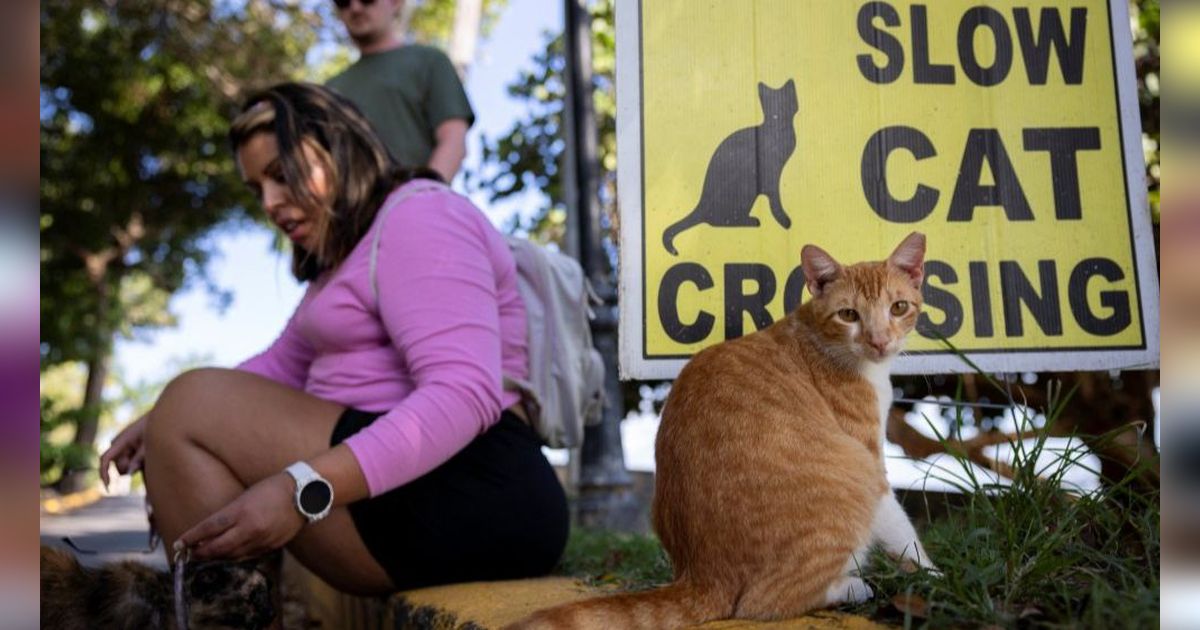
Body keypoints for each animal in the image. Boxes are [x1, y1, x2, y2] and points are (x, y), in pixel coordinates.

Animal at [511, 231, 931, 628]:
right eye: (848, 314)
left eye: (898, 307)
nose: (879, 341)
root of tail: (702, 575)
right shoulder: (871, 463)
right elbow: (902, 531)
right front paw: (932, 576)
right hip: (852, 473)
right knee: (765, 602)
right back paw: (853, 586)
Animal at [662, 79, 801, 255]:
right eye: (774, 112)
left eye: (786, 104)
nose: (780, 115)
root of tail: (701, 206)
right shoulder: (771, 176)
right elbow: (775, 199)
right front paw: (784, 220)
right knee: (719, 221)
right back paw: (750, 221)